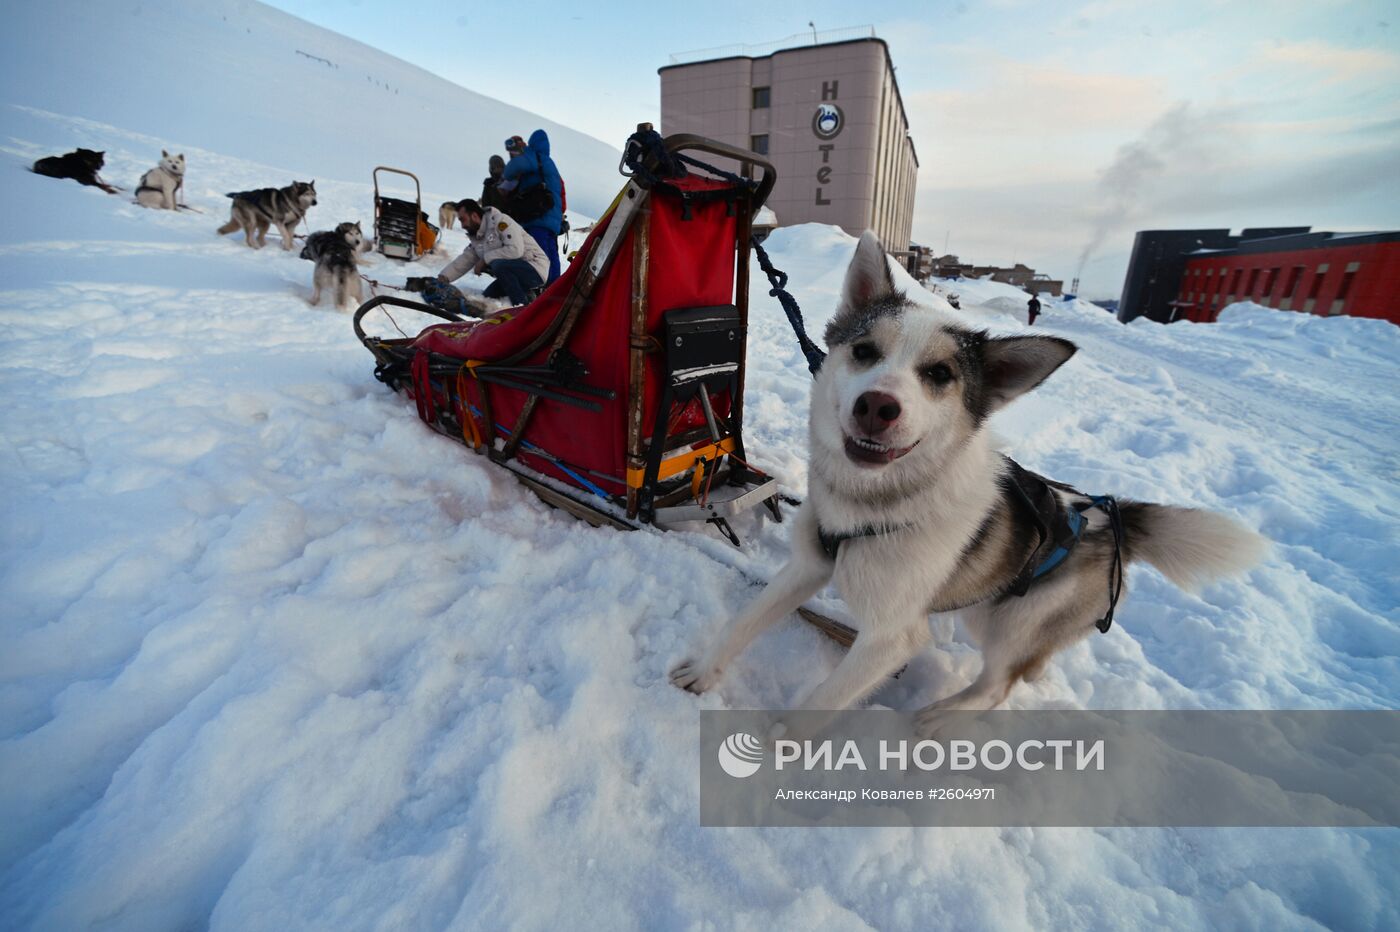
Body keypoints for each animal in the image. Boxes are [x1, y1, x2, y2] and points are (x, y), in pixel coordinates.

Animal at [666, 228, 1271, 727]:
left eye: (939, 374)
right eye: (864, 351)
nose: (876, 406)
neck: (881, 502)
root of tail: (1111, 513)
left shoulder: (892, 639)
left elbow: (817, 704)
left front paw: (775, 755)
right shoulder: (808, 566)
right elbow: (744, 621)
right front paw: (704, 671)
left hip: (1012, 623)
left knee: (999, 684)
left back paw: (939, 718)